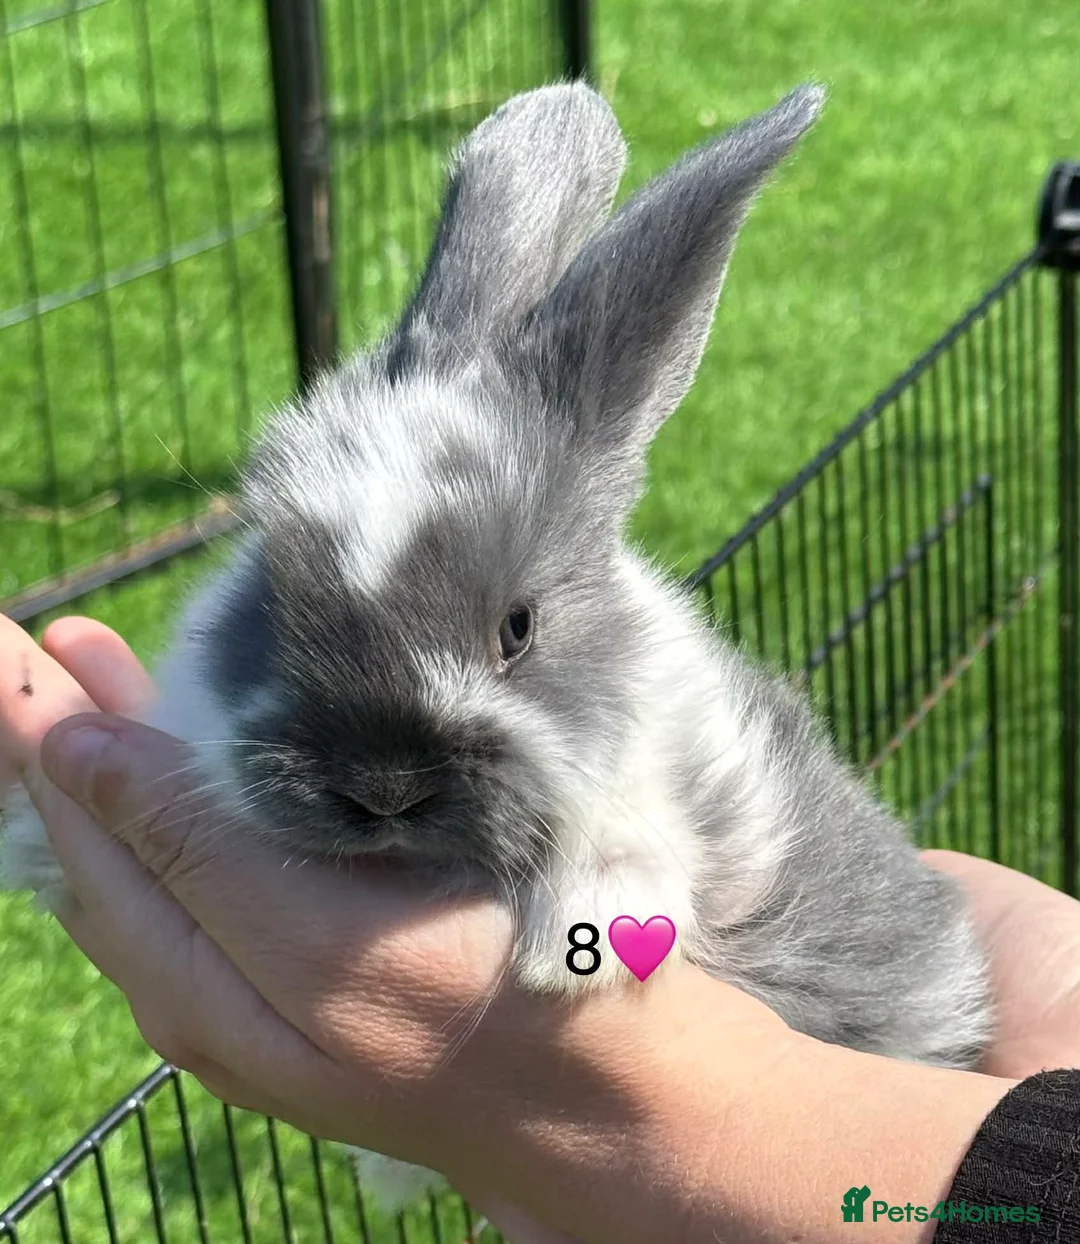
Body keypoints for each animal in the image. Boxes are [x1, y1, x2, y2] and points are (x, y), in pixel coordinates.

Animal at [0, 81, 993, 1215]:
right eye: (270, 595)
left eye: (518, 628)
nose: (383, 788)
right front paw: (28, 836)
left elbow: (639, 834)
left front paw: (588, 939)